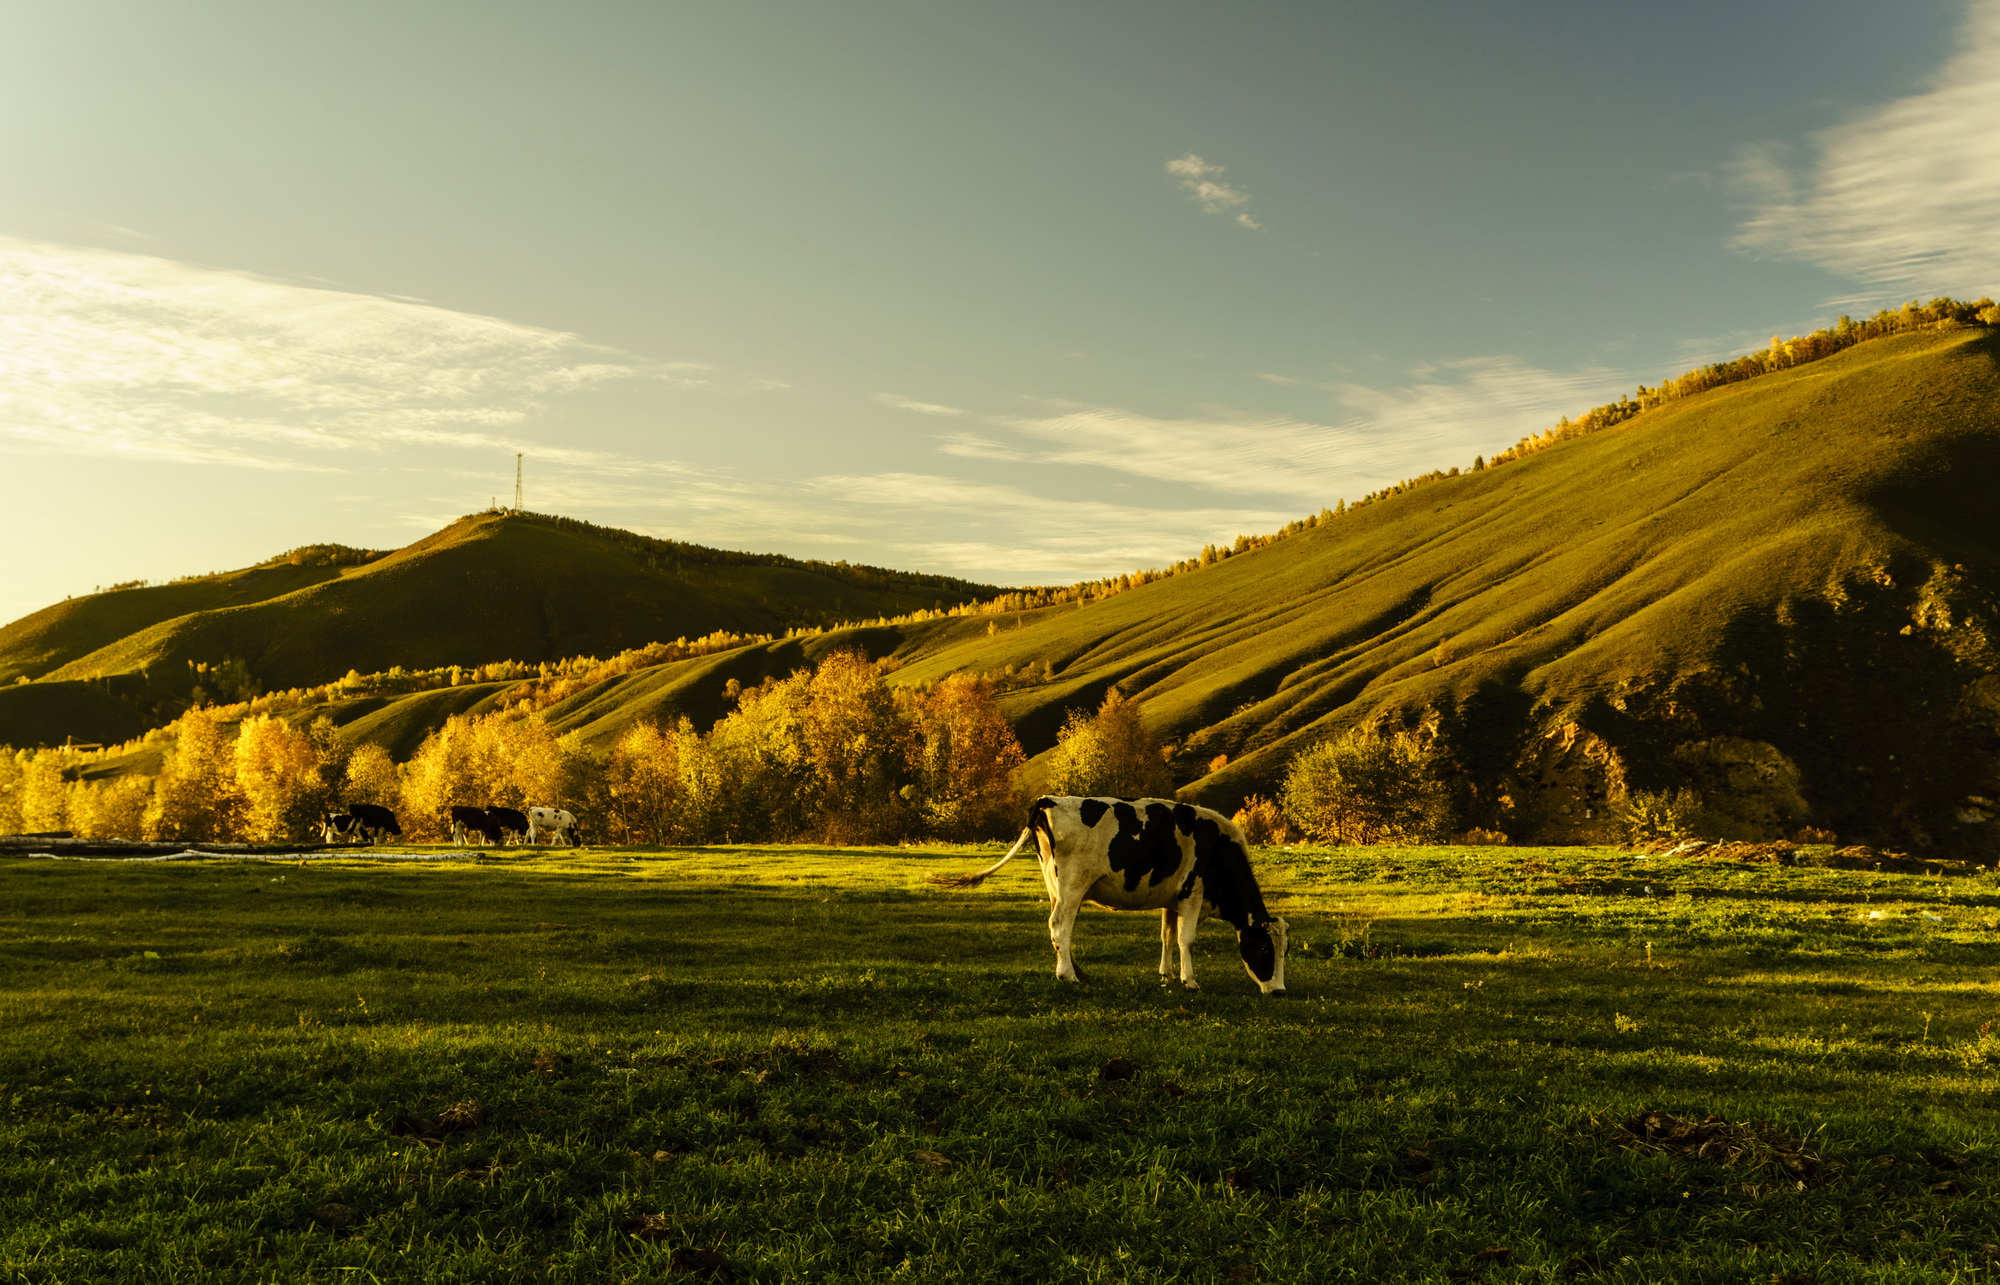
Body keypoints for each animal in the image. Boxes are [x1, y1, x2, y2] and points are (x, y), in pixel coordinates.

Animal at [940, 792, 1288, 992]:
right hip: (1073, 884)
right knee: (1060, 926)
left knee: (1058, 931)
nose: (1279, 990)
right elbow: (1185, 940)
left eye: (1285, 951)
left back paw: (1078, 972)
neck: (1219, 850)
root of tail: (1048, 799)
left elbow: (1166, 937)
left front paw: (1166, 976)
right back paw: (1068, 976)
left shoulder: (1172, 899)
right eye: (1265, 949)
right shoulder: (1192, 893)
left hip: (1055, 884)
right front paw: (1189, 981)